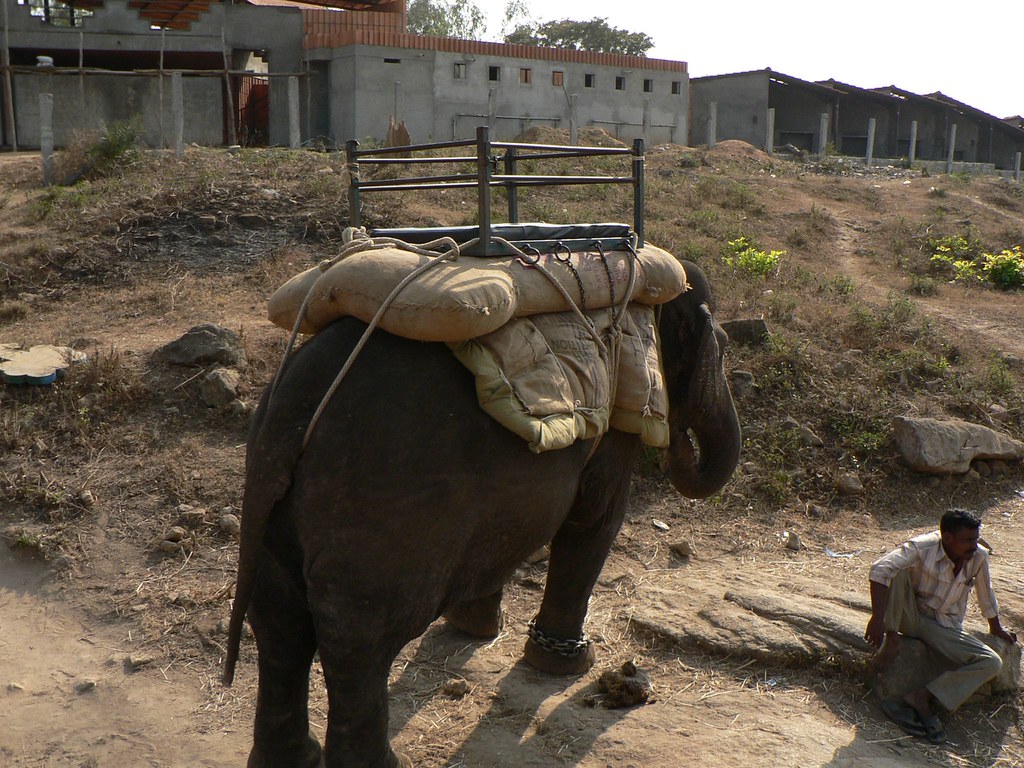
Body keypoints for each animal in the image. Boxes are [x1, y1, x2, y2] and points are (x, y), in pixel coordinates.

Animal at [223, 260, 741, 768]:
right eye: (720, 343)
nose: (679, 439)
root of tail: (292, 408)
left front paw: (475, 628)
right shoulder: (619, 409)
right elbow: (594, 519)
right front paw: (571, 664)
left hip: (276, 505)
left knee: (279, 622)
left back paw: (291, 758)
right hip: (383, 510)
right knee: (359, 638)